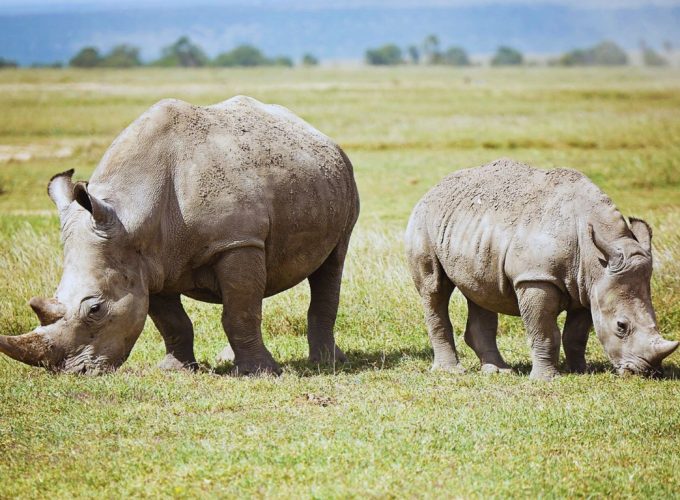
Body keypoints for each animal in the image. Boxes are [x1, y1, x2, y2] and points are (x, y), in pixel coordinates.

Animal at [0, 96, 359, 375]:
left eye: (96, 309)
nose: (74, 372)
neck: (130, 213)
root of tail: (318, 133)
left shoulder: (237, 242)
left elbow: (239, 312)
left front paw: (260, 373)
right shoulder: (145, 261)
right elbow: (171, 321)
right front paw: (175, 370)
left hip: (344, 176)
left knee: (331, 264)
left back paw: (326, 363)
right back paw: (228, 358)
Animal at [405, 159, 678, 380]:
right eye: (621, 326)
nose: (648, 372)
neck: (596, 255)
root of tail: (434, 188)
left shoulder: (588, 285)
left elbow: (577, 334)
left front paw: (580, 371)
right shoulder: (536, 278)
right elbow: (545, 331)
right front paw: (547, 379)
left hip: (471, 229)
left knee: (481, 290)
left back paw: (499, 372)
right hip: (423, 220)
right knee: (434, 289)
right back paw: (451, 371)